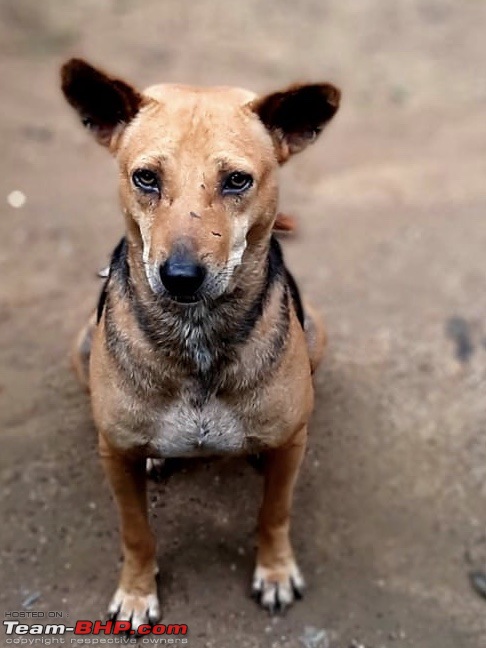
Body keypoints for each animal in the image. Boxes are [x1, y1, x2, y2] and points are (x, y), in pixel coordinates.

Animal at [60, 59, 340, 628]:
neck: (197, 336)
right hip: (80, 346)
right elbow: (136, 532)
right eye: (145, 177)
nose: (181, 277)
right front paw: (137, 592)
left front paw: (275, 572)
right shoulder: (112, 453)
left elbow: (274, 512)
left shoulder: (292, 444)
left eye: (237, 181)